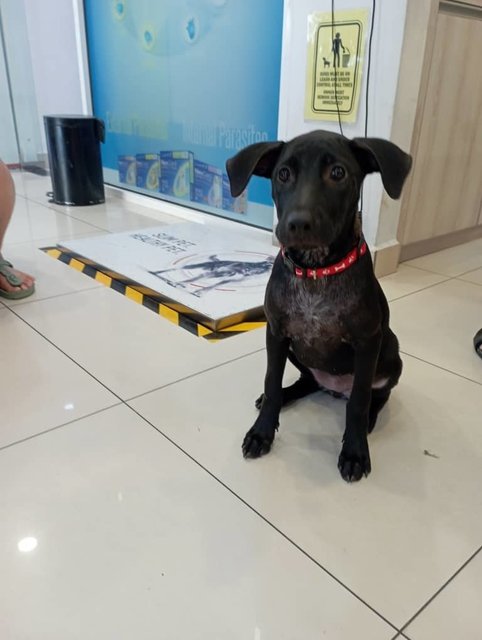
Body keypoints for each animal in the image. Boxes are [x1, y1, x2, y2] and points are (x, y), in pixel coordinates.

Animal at [226, 129, 410, 480]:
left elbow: (359, 401)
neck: (315, 270)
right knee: (305, 381)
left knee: (375, 394)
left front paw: (354, 451)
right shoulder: (276, 333)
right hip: (297, 353)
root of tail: (335, 387)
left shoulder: (368, 341)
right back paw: (282, 396)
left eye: (338, 173)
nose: (298, 224)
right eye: (283, 174)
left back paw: (369, 420)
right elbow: (271, 382)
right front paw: (262, 432)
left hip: (390, 352)